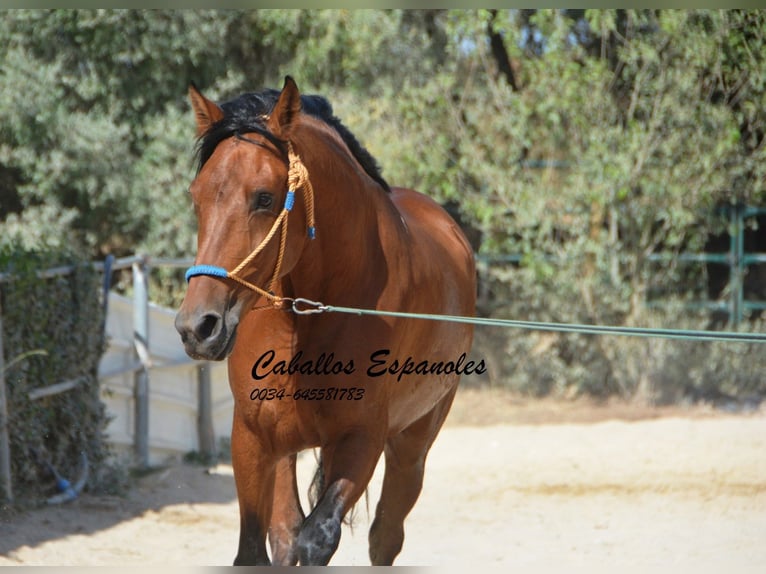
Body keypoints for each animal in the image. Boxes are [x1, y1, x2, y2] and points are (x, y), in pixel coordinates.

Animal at [175, 76, 476, 568]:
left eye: (264, 197)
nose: (198, 326)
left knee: (384, 536)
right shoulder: (252, 438)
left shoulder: (361, 439)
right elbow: (260, 545)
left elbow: (317, 537)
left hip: (411, 446)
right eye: (196, 197)